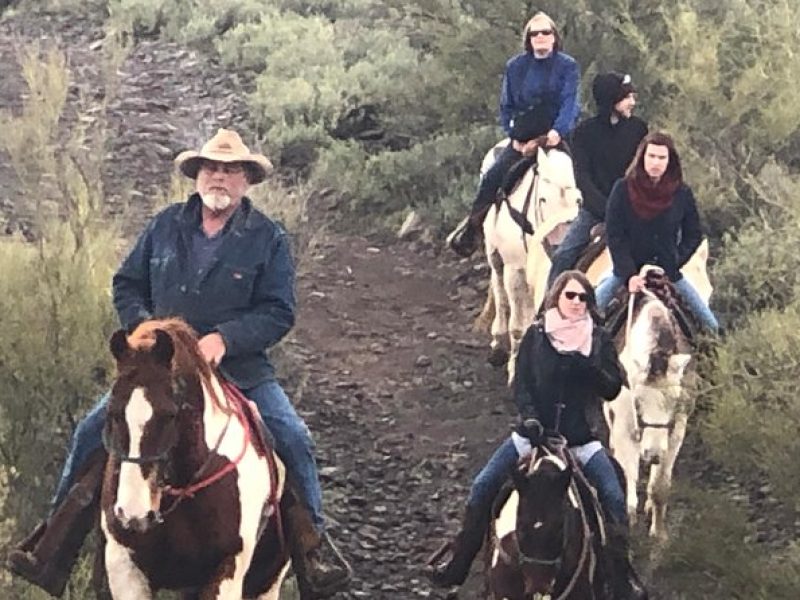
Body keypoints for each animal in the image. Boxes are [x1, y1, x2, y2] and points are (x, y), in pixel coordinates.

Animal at [472, 139, 580, 384]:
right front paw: (514, 371)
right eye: (543, 199)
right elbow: (516, 325)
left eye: (579, 199)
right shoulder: (515, 269)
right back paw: (498, 343)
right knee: (499, 293)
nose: (559, 242)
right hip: (495, 256)